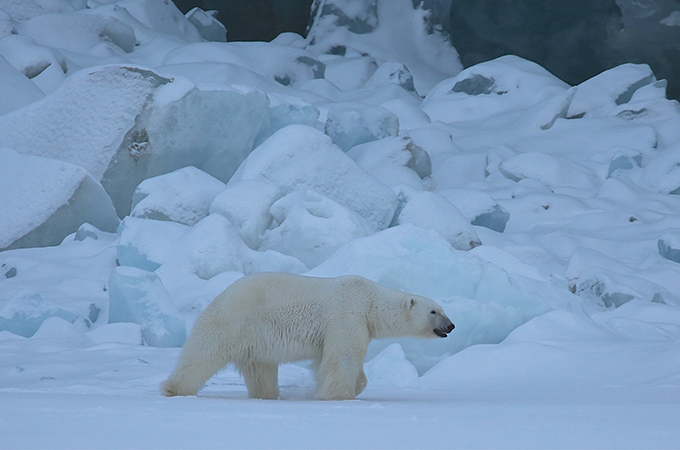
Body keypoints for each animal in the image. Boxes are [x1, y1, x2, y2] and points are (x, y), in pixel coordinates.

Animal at [162, 270, 454, 400]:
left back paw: (267, 396)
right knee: (202, 354)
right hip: (234, 322)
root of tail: (219, 296)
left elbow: (332, 359)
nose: (451, 326)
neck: (369, 301)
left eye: (442, 309)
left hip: (255, 340)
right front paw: (338, 395)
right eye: (434, 311)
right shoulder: (347, 316)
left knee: (261, 370)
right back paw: (173, 388)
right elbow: (342, 358)